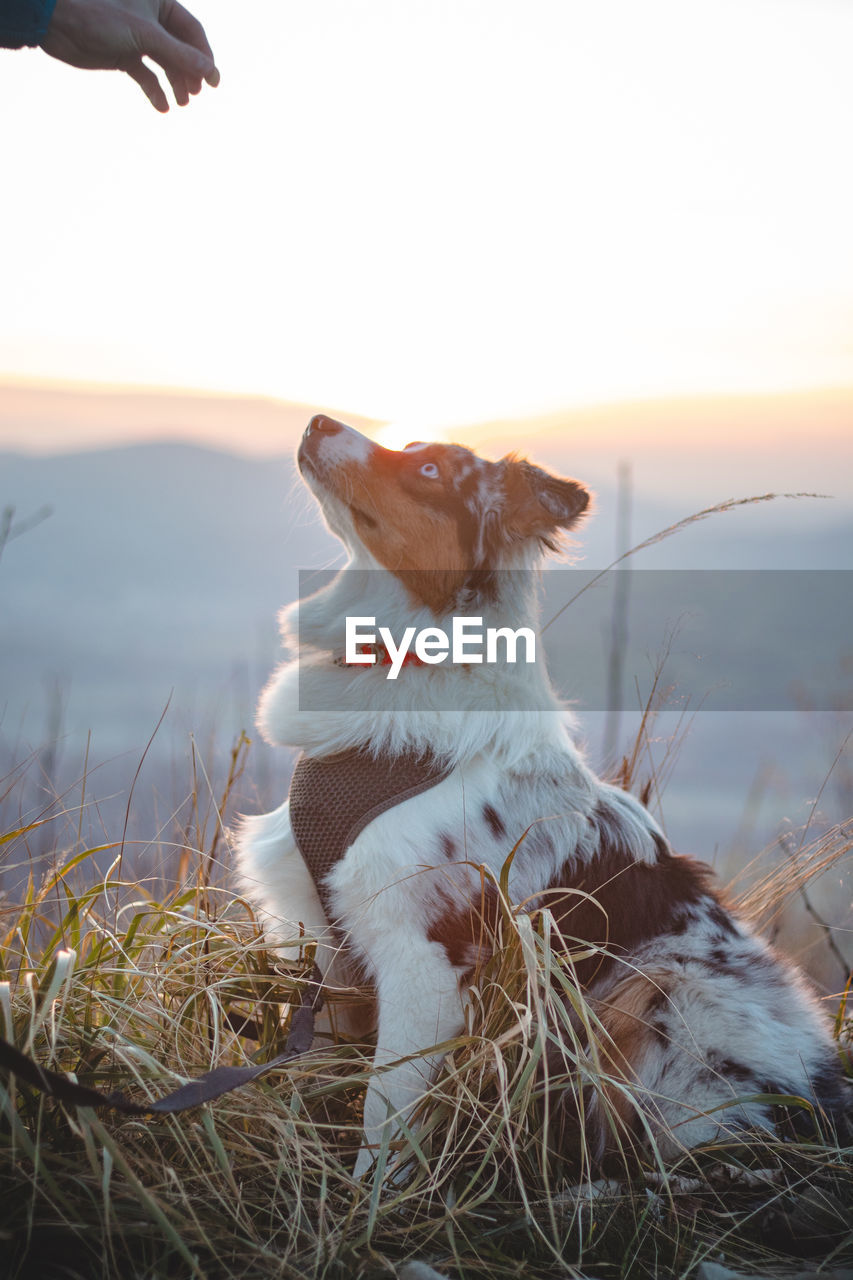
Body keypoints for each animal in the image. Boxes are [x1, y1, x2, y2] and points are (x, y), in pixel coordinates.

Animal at [235, 414, 845, 1172]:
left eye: (430, 470)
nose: (318, 421)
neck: (413, 654)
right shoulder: (325, 942)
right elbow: (311, 1061)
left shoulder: (424, 957)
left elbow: (385, 1116)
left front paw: (368, 1196)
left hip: (660, 986)